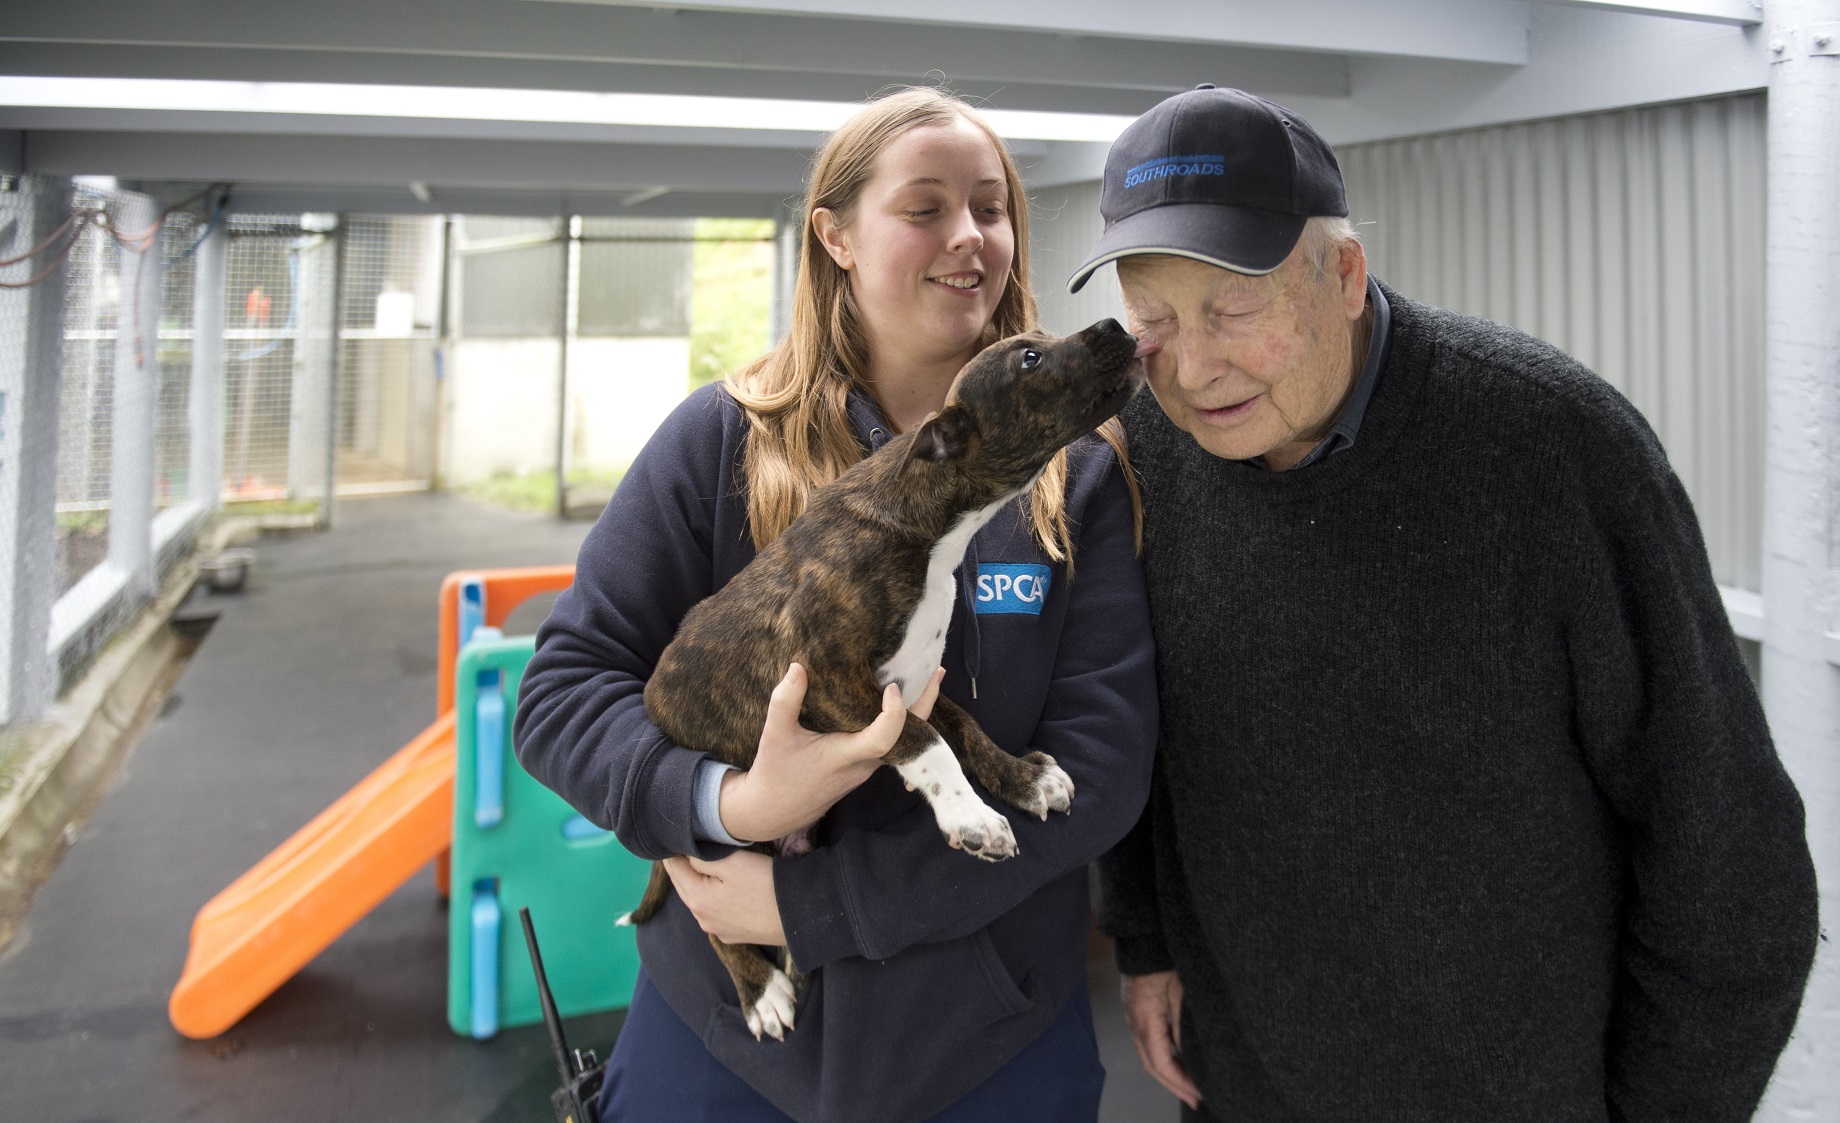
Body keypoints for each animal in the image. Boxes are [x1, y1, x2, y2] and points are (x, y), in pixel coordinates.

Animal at [625, 318, 1140, 1038]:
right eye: (1031, 359)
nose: (1114, 325)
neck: (931, 528)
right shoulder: (833, 681)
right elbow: (929, 746)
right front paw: (972, 820)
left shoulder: (914, 681)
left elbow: (965, 729)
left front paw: (1021, 778)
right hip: (710, 842)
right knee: (714, 919)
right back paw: (760, 991)